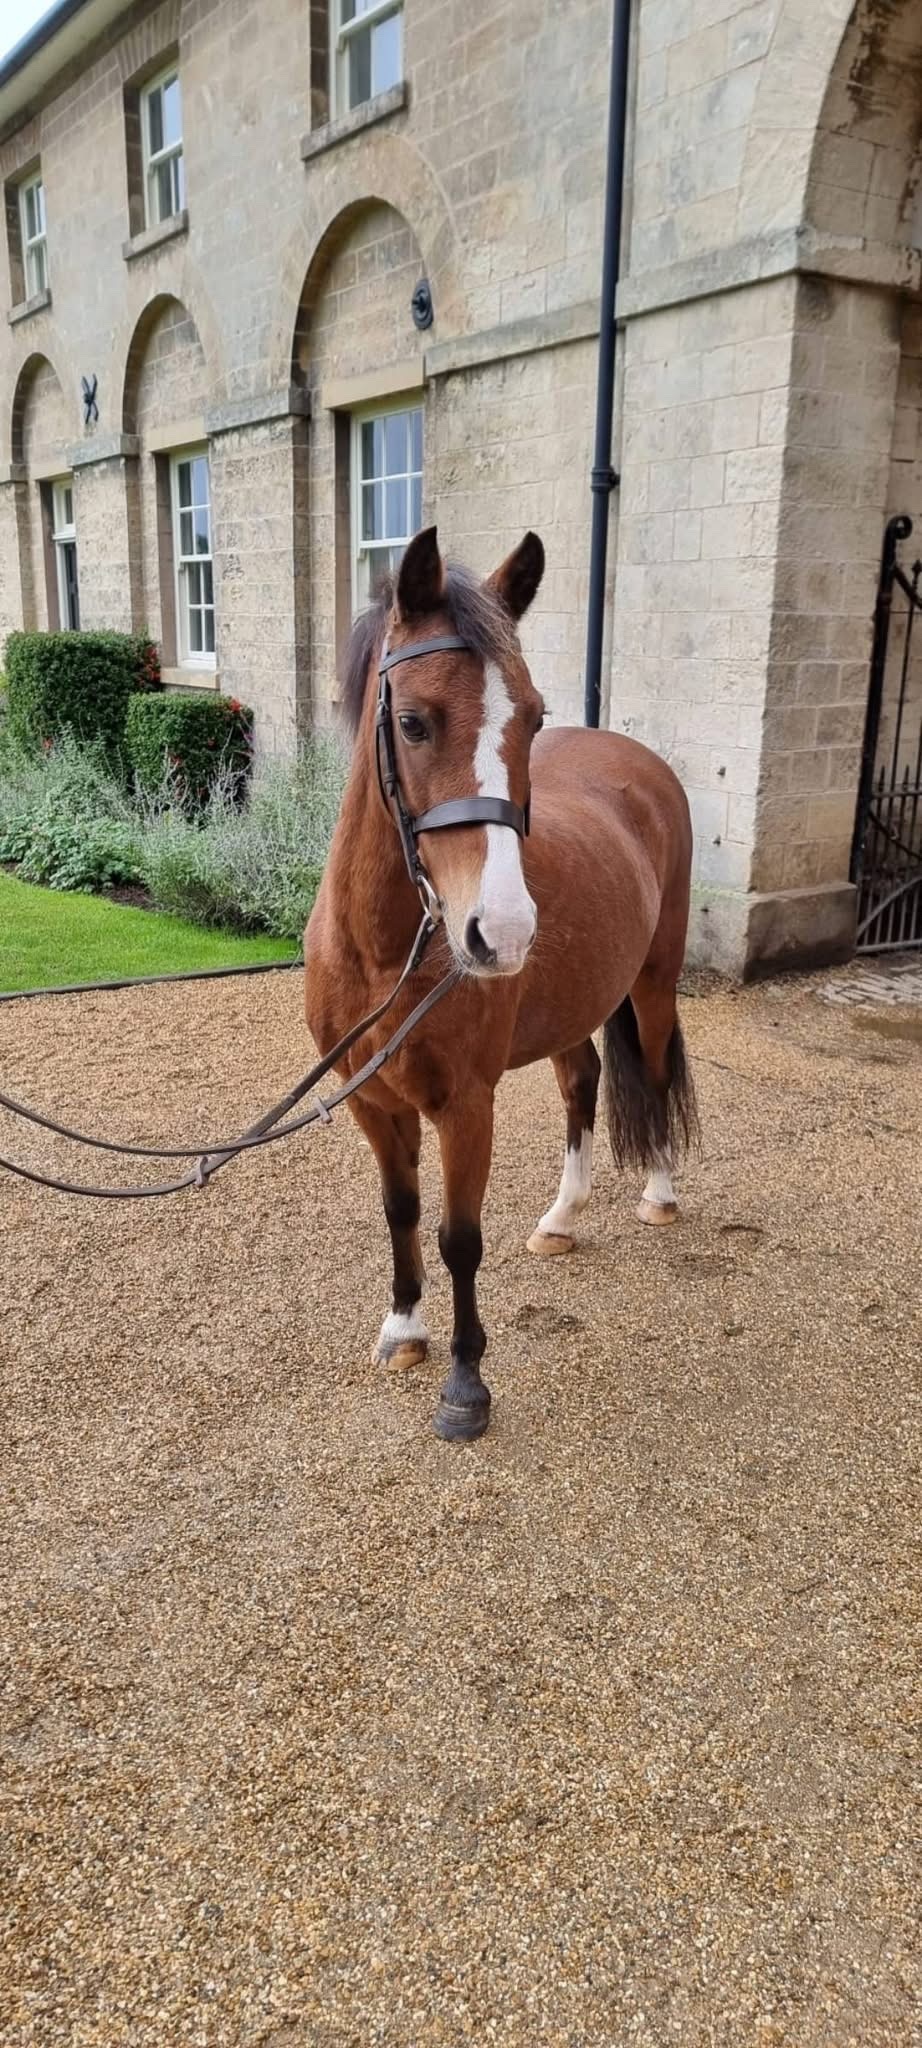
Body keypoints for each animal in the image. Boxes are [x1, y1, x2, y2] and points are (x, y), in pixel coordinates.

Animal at [303, 526, 697, 1442]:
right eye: (411, 722)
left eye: (534, 717)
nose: (504, 931)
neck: (384, 954)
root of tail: (641, 764)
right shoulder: (373, 1101)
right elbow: (402, 1211)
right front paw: (404, 1329)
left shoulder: (466, 1104)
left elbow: (460, 1237)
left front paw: (465, 1384)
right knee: (583, 1082)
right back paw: (560, 1220)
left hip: (655, 983)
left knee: (656, 1072)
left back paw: (659, 1194)